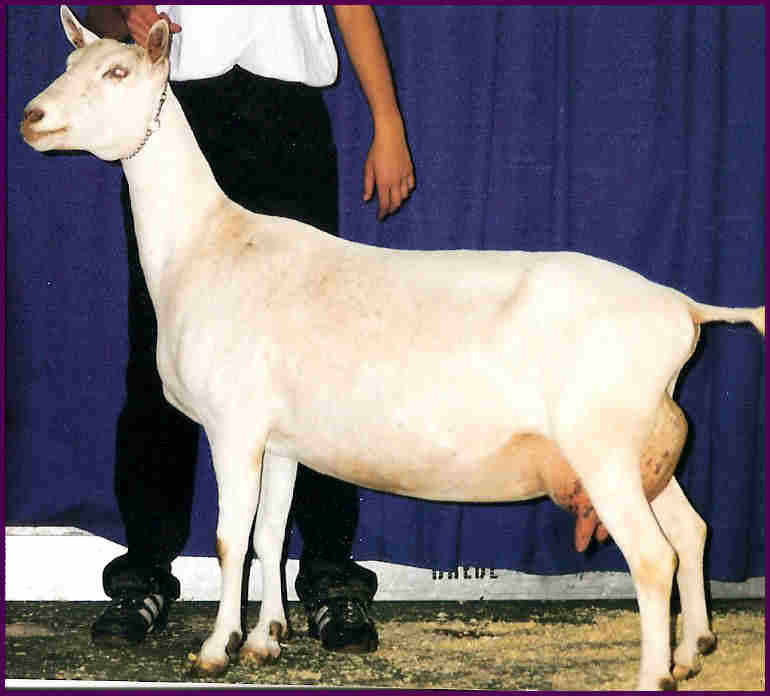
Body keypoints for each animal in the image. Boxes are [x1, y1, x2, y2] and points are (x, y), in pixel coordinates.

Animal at [21, 7, 764, 689]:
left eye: (117, 74)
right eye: (69, 64)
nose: (31, 116)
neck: (206, 243)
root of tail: (682, 308)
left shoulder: (234, 425)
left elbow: (231, 540)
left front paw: (216, 648)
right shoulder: (280, 439)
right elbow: (269, 534)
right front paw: (266, 639)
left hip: (601, 445)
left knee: (653, 557)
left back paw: (655, 674)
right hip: (645, 445)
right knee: (691, 532)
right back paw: (694, 650)